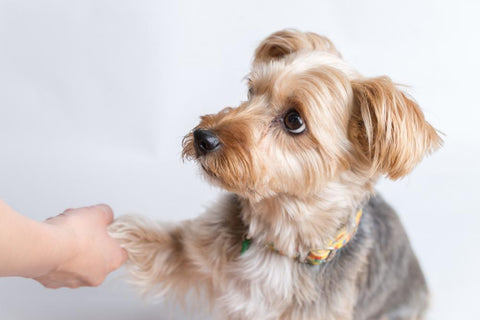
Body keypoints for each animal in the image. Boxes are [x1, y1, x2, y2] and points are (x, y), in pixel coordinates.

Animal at [109, 30, 442, 320]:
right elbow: (151, 238)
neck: (278, 241)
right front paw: (109, 230)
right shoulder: (192, 249)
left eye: (294, 120)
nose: (203, 138)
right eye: (251, 91)